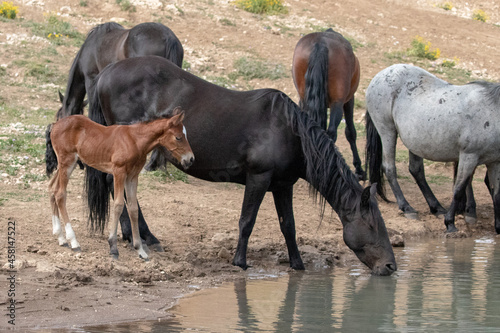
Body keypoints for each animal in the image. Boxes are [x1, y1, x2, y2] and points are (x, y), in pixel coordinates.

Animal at [45, 110, 193, 258]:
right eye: (178, 137)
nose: (190, 159)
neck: (134, 140)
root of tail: (55, 125)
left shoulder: (132, 177)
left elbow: (133, 208)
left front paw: (140, 250)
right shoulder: (119, 172)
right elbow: (118, 205)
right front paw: (113, 247)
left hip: (67, 164)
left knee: (52, 188)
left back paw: (61, 238)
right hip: (67, 161)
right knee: (60, 194)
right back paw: (74, 241)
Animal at [85, 55, 398, 274]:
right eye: (373, 225)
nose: (391, 266)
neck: (288, 130)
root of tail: (105, 74)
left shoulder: (282, 185)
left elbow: (288, 226)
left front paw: (297, 265)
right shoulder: (258, 178)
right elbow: (247, 221)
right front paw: (240, 261)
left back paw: (136, 236)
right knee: (118, 187)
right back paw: (143, 237)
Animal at [292, 28, 366, 179]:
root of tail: (321, 44)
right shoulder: (349, 100)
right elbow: (351, 132)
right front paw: (359, 168)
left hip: (305, 98)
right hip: (337, 103)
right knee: (331, 133)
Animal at [366, 63, 500, 232]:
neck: (493, 111)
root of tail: (379, 75)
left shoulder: (494, 162)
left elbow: (496, 193)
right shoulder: (469, 156)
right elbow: (458, 189)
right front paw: (450, 223)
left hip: (414, 142)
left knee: (416, 171)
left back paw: (436, 207)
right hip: (387, 131)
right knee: (389, 168)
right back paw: (407, 208)